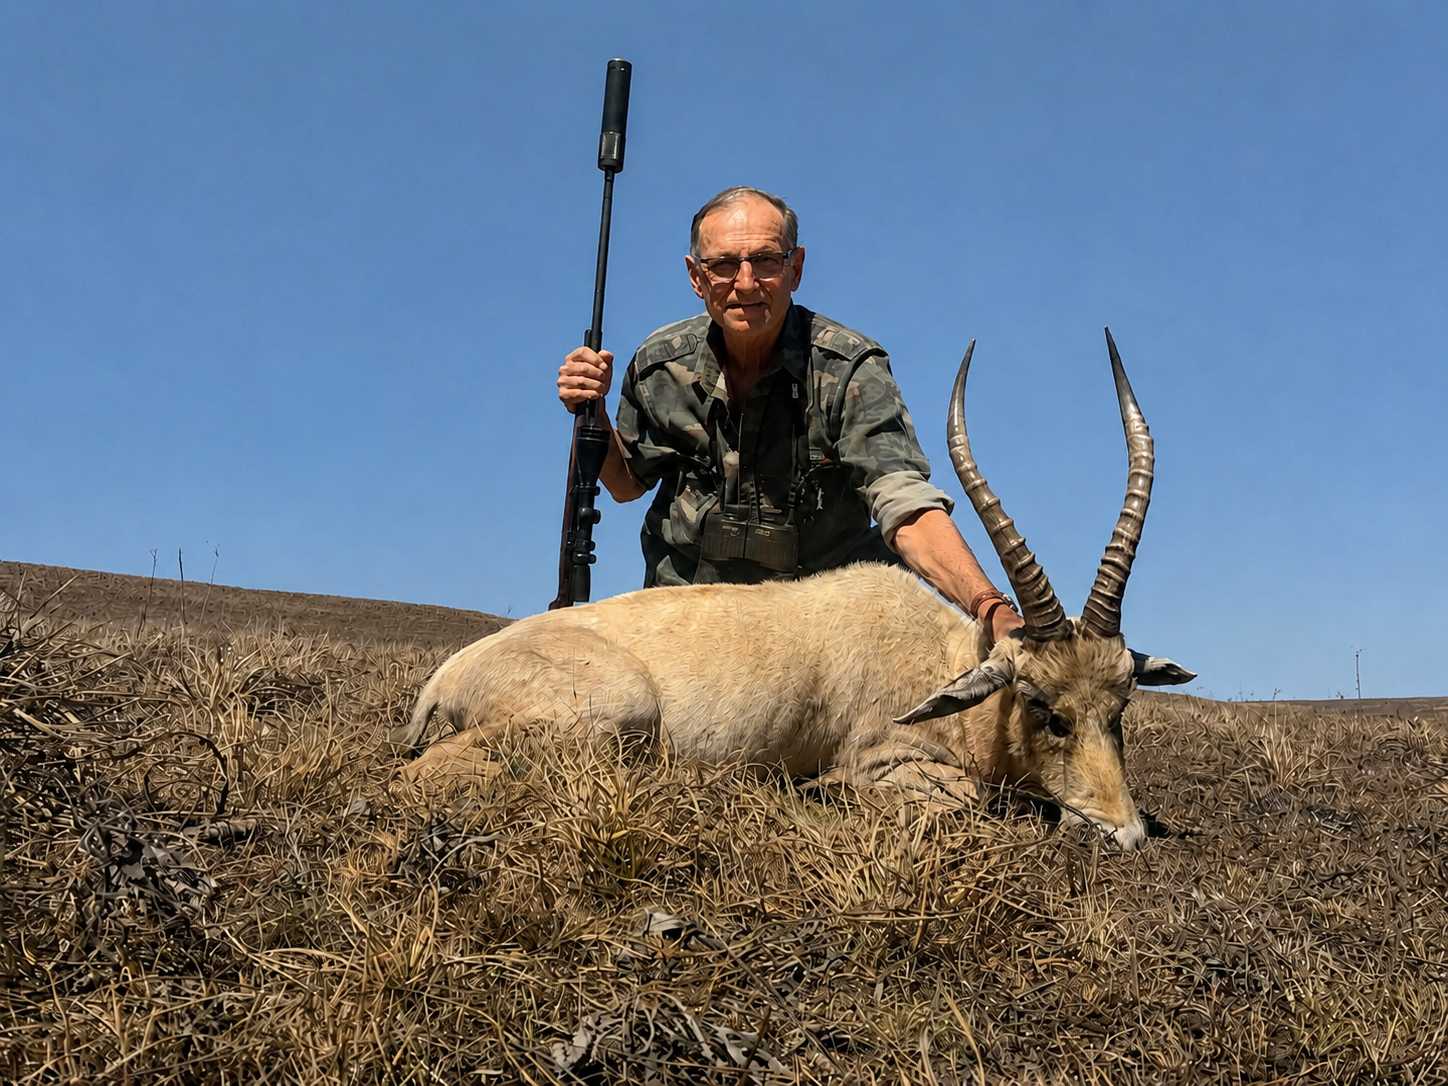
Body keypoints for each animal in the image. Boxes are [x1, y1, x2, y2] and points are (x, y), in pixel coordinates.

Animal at [393, 330, 1194, 849]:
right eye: (1042, 708)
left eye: (1121, 708)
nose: (1124, 833)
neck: (947, 661)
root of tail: (450, 672)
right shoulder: (885, 762)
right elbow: (961, 799)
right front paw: (817, 792)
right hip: (618, 712)